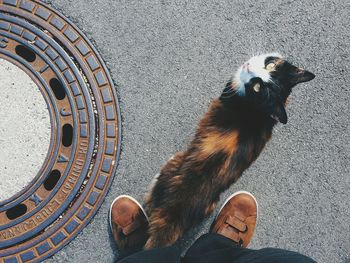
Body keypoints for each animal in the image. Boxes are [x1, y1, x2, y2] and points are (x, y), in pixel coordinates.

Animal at [144, 53, 314, 250]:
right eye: (270, 66)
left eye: (257, 88)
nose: (248, 67)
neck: (259, 110)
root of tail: (173, 213)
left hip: (171, 163)